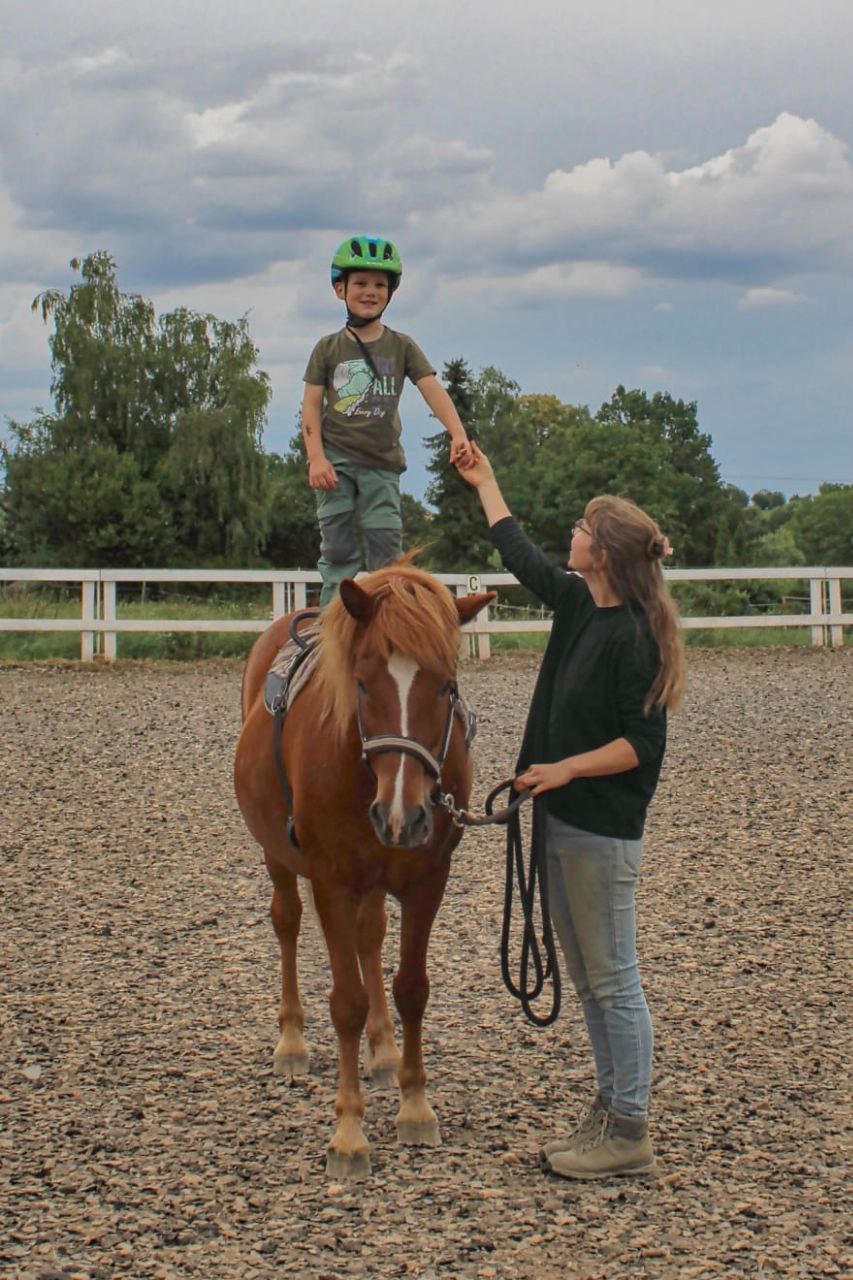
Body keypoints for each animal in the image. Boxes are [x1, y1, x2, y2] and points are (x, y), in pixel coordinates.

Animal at [234, 562, 494, 1180]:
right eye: (362, 683)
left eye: (447, 686)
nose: (401, 814)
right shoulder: (331, 880)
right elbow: (346, 1003)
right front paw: (349, 1133)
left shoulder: (428, 879)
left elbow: (412, 989)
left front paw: (415, 1106)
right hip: (280, 858)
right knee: (287, 923)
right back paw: (292, 1043)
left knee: (369, 938)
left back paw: (383, 1051)